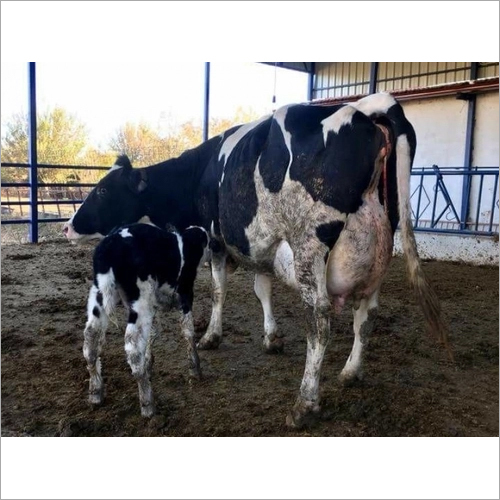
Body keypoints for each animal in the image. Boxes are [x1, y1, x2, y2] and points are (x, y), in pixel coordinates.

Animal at [85, 225, 210, 416]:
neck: (184, 245)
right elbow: (188, 329)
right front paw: (195, 368)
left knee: (91, 337)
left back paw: (96, 392)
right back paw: (147, 403)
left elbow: (152, 332)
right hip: (140, 300)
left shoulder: (154, 303)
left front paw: (149, 364)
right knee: (133, 347)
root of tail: (111, 244)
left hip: (99, 295)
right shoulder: (185, 292)